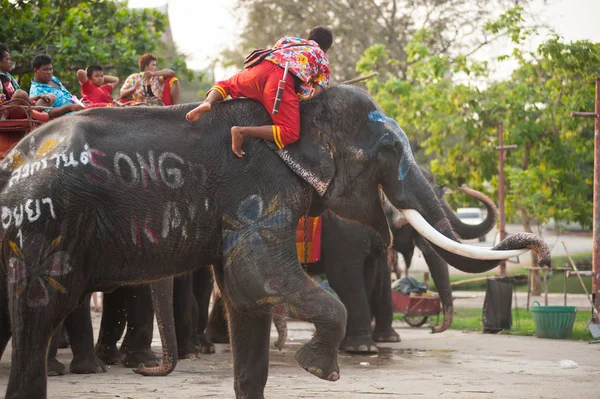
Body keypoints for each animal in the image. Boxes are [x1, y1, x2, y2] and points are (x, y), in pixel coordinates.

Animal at [0, 86, 552, 398]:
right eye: (388, 149)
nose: (543, 253)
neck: (300, 109)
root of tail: (12, 161)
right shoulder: (258, 190)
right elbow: (259, 274)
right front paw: (321, 370)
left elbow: (246, 296)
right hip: (41, 226)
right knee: (40, 310)